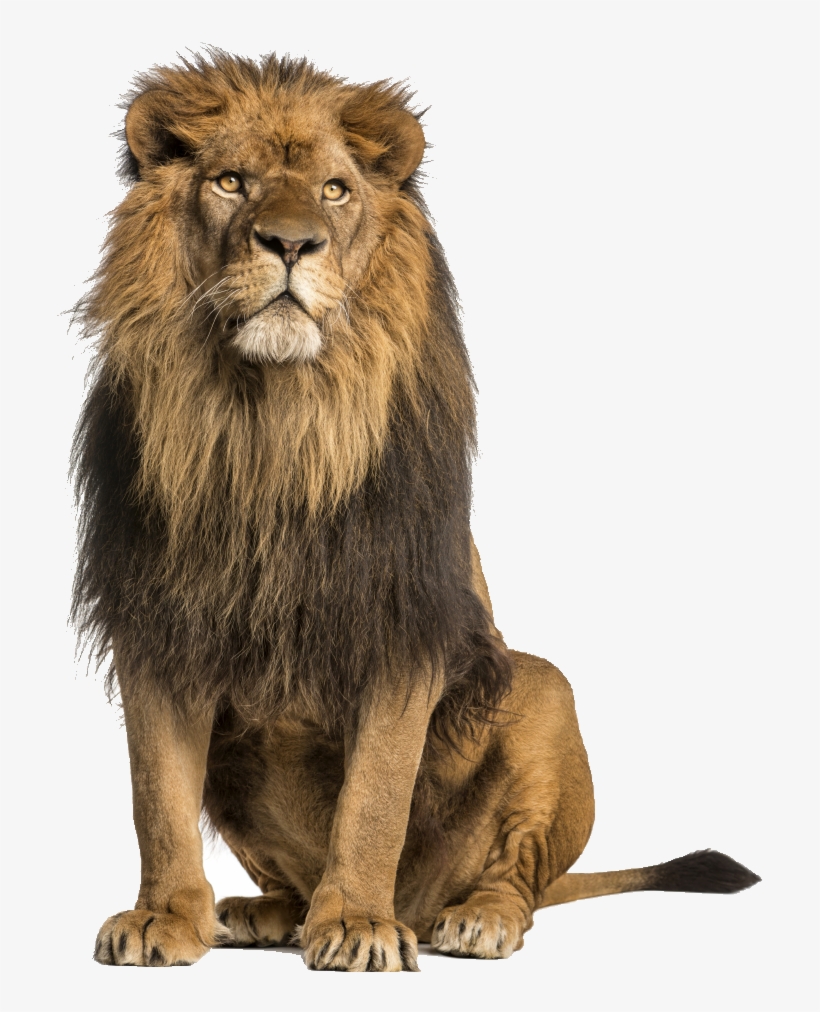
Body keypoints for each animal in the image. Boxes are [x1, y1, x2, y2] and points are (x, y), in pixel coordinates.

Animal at [72, 51, 759, 972]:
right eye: (229, 181)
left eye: (334, 191)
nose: (291, 244)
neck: (272, 422)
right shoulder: (156, 621)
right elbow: (156, 796)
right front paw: (164, 917)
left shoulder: (402, 624)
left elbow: (375, 796)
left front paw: (359, 924)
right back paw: (263, 912)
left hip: (545, 690)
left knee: (520, 875)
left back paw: (470, 919)